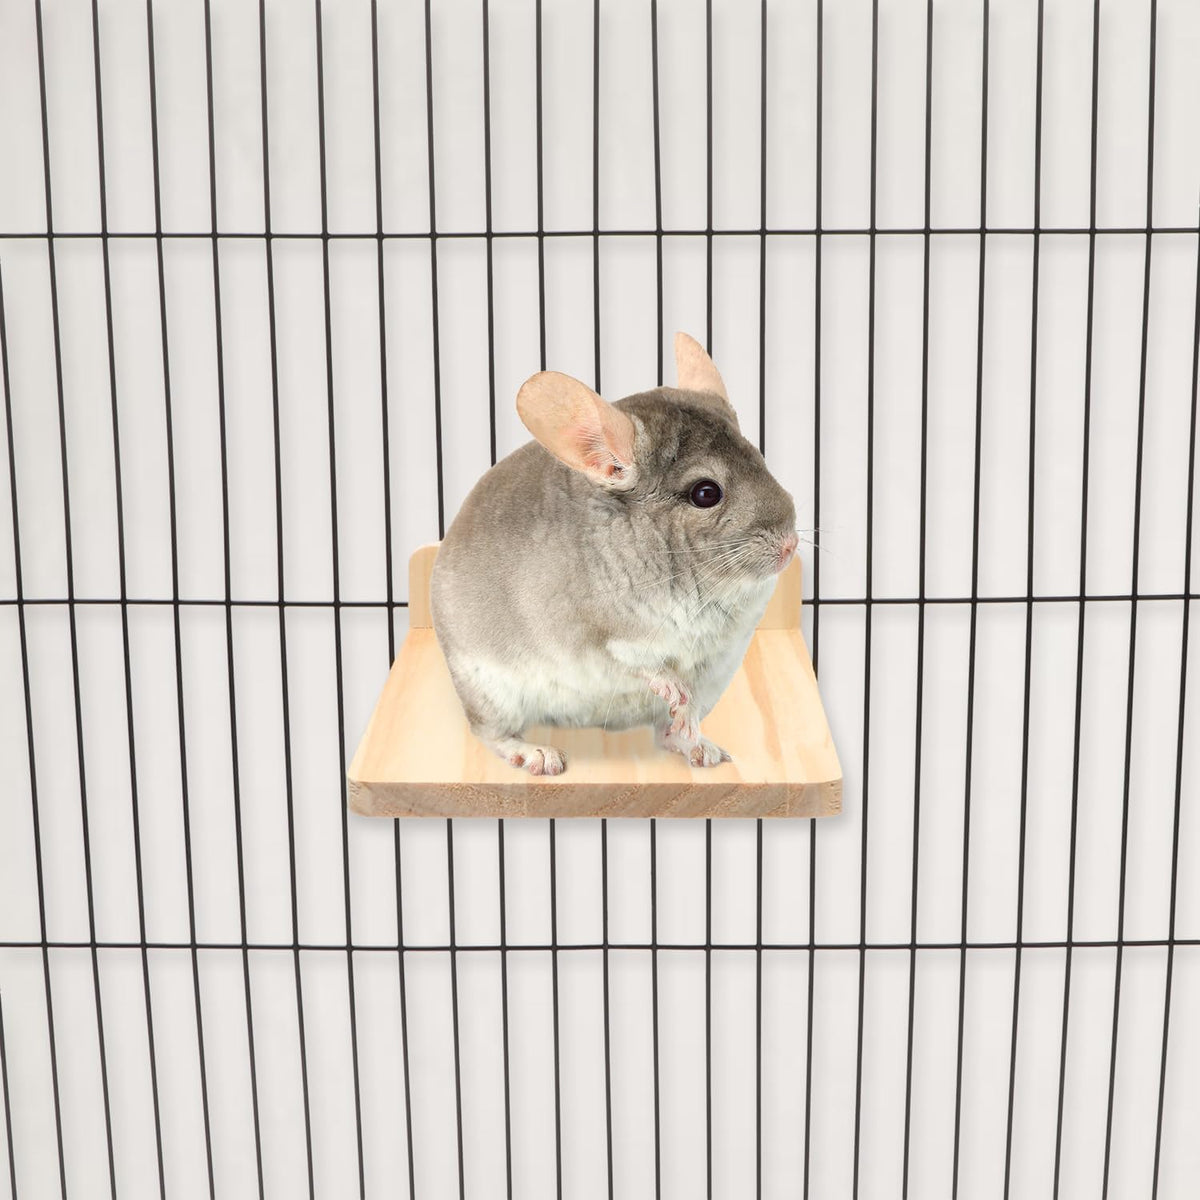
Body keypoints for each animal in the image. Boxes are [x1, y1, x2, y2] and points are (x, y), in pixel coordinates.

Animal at [430, 333, 798, 775]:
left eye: (760, 458)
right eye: (706, 493)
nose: (790, 545)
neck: (694, 583)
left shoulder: (715, 662)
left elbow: (689, 695)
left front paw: (686, 715)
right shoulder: (587, 631)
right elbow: (633, 659)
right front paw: (671, 688)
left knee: (665, 735)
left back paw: (700, 747)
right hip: (488, 691)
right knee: (489, 734)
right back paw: (539, 755)